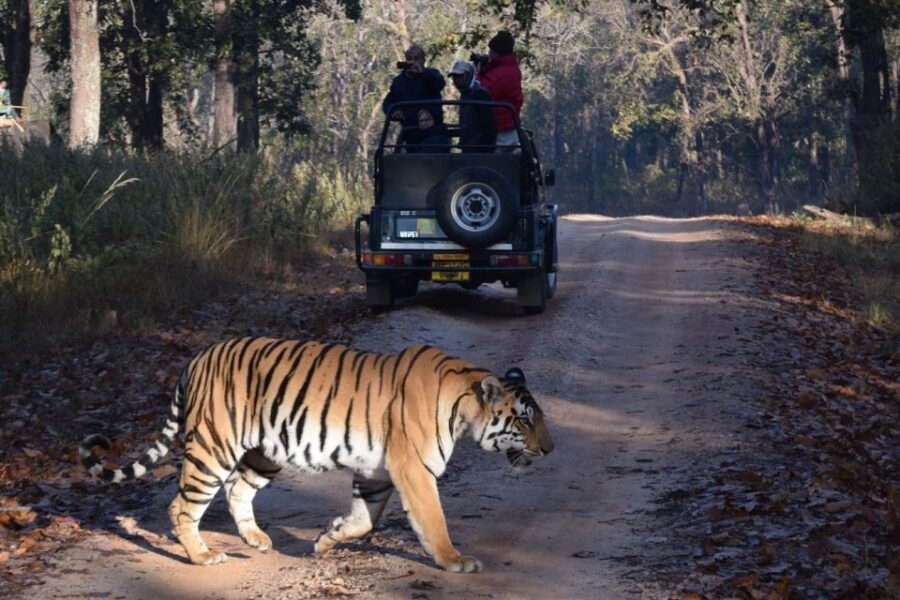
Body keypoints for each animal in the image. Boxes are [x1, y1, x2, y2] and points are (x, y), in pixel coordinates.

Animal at [79, 337, 554, 573]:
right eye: (525, 420)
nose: (550, 449)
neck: (464, 406)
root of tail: (195, 357)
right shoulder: (414, 470)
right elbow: (433, 520)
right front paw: (456, 561)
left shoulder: (376, 471)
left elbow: (365, 521)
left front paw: (327, 538)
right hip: (214, 447)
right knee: (181, 505)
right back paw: (202, 555)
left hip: (263, 452)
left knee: (237, 490)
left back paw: (256, 539)